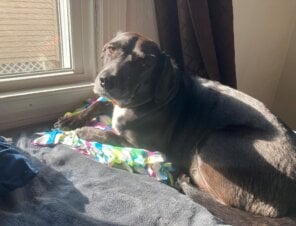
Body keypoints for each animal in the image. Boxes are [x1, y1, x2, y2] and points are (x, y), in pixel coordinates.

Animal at [56, 30, 296, 220]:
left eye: (145, 63)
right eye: (111, 49)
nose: (106, 81)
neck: (141, 102)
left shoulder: (143, 145)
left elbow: (111, 134)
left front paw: (86, 131)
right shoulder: (111, 103)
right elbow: (98, 104)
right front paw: (71, 119)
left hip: (213, 142)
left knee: (218, 199)